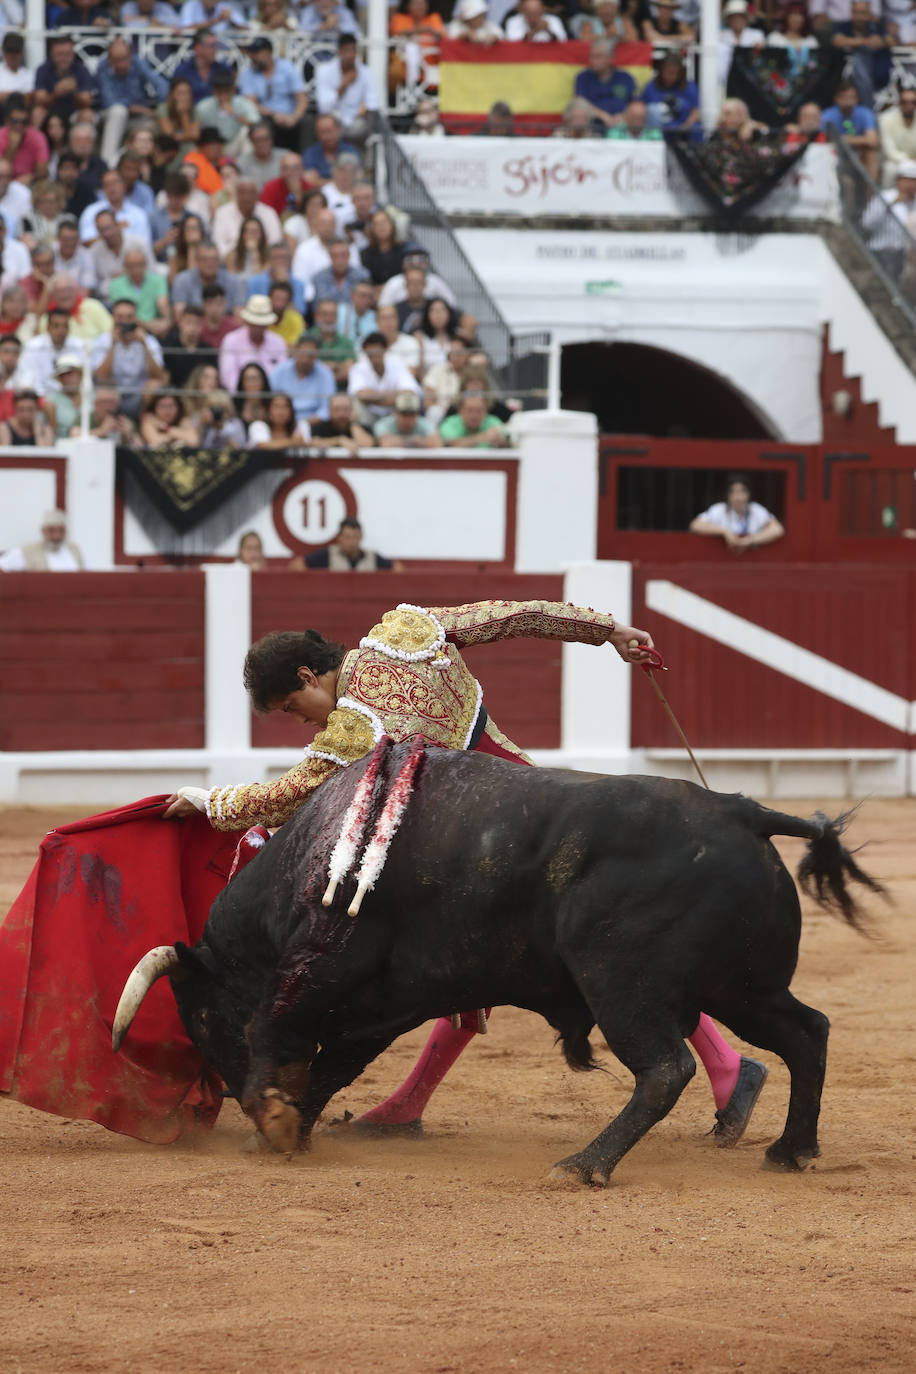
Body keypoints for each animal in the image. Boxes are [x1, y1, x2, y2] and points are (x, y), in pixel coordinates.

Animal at [114, 747, 878, 1187]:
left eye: (202, 1017)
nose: (228, 1092)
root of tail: (743, 812)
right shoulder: (383, 1001)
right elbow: (334, 1065)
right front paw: (291, 1126)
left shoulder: (326, 967)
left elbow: (276, 1028)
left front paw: (273, 1119)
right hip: (745, 985)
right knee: (807, 1031)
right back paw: (791, 1149)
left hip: (621, 981)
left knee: (666, 1067)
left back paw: (583, 1166)